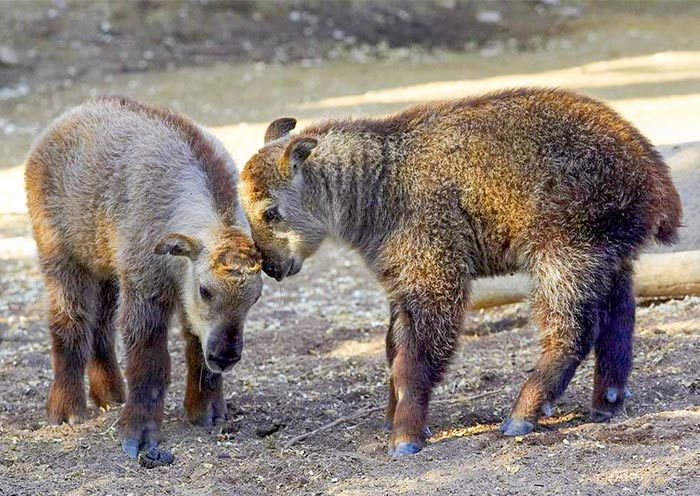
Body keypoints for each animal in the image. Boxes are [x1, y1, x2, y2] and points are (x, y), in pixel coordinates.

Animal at [25, 95, 262, 460]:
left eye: (255, 298)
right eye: (205, 290)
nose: (225, 356)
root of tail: (66, 119)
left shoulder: (172, 295)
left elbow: (195, 347)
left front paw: (206, 410)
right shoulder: (146, 291)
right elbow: (150, 362)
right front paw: (140, 433)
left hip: (107, 271)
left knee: (101, 328)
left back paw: (110, 394)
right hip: (62, 259)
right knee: (69, 322)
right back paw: (67, 410)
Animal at [242, 89, 684, 458]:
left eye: (271, 211)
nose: (272, 267)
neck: (381, 181)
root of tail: (655, 179)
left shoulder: (436, 277)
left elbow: (414, 360)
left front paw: (405, 439)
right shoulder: (400, 288)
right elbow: (393, 351)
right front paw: (393, 418)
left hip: (564, 257)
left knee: (572, 333)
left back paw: (520, 417)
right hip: (613, 262)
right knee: (619, 322)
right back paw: (606, 404)